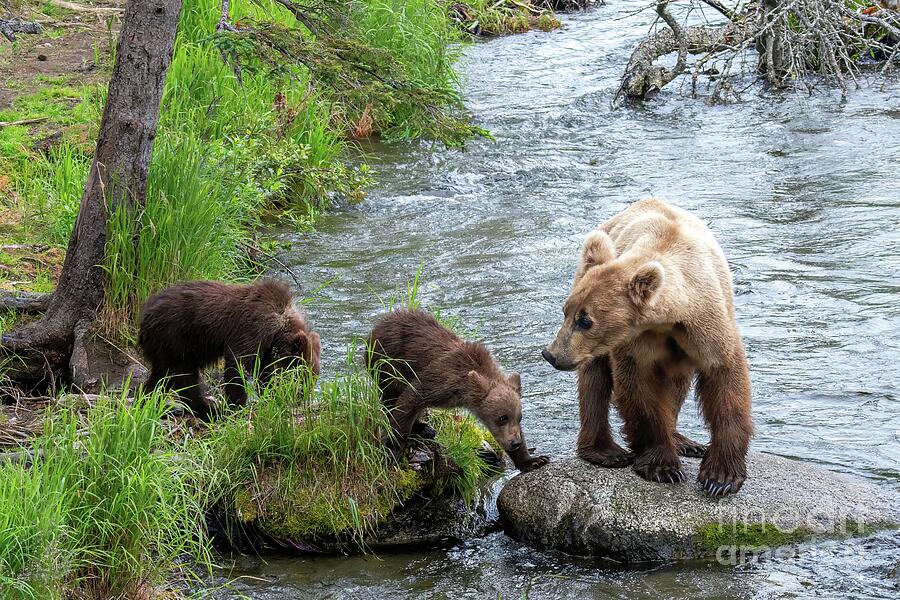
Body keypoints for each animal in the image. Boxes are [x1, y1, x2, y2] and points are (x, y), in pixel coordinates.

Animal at [139, 278, 322, 420]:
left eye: (313, 377)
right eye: (303, 376)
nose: (301, 398)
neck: (279, 327)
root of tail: (145, 313)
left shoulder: (267, 348)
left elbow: (265, 372)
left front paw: (270, 395)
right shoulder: (253, 328)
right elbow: (238, 364)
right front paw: (238, 405)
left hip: (165, 347)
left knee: (160, 377)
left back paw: (149, 403)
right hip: (175, 338)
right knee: (185, 378)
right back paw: (208, 410)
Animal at [540, 199, 752, 494]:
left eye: (585, 320)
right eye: (566, 312)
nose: (551, 353)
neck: (670, 318)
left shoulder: (707, 326)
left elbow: (726, 383)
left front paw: (720, 477)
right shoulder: (636, 342)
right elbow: (639, 390)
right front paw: (663, 467)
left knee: (676, 386)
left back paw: (685, 442)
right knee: (594, 382)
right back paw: (605, 450)